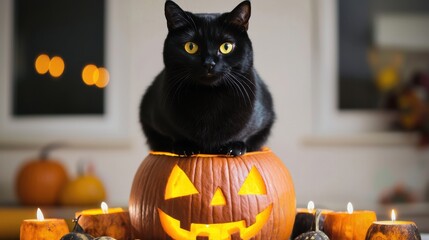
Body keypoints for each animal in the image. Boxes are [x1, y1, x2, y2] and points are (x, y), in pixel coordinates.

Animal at [140, 0, 274, 157]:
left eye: (226, 47)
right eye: (190, 47)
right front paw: (185, 146)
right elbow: (173, 135)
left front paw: (234, 146)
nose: (209, 63)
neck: (210, 96)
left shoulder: (265, 119)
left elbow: (247, 135)